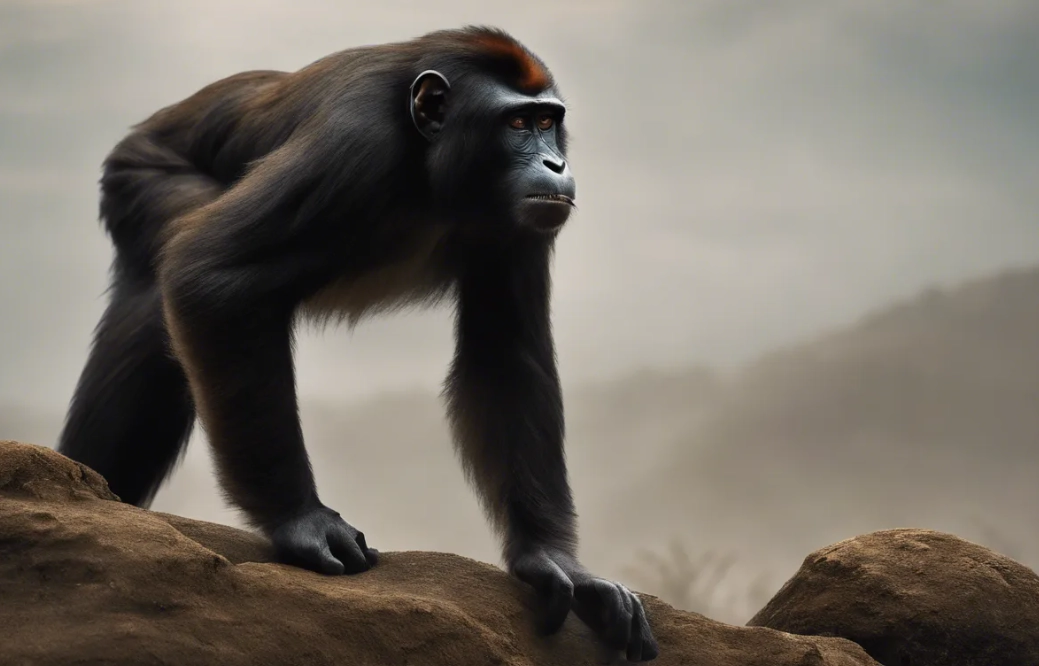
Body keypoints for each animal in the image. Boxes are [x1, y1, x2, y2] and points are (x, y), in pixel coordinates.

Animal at [57, 26, 658, 661]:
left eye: (547, 121)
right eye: (518, 125)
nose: (556, 162)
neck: (433, 169)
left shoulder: (519, 221)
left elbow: (504, 358)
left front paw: (551, 558)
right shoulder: (354, 148)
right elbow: (212, 276)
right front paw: (300, 520)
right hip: (141, 175)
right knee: (165, 288)